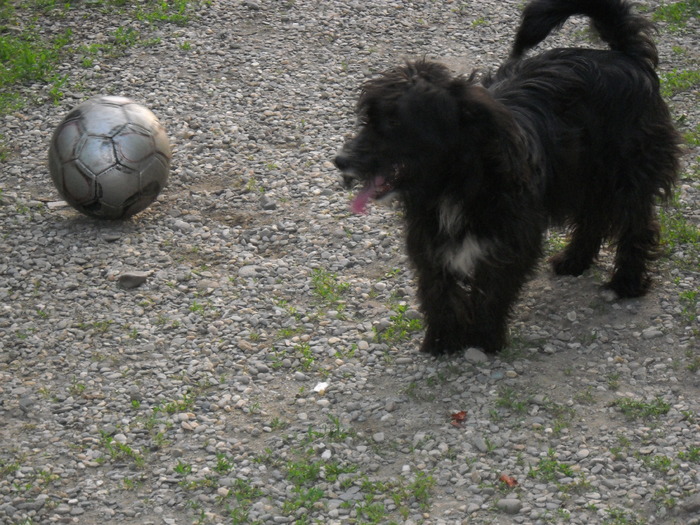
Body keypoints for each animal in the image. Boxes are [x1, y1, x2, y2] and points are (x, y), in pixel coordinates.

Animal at [336, 0, 680, 356]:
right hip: (581, 176)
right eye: (368, 120)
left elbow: (493, 289)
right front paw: (442, 341)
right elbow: (439, 291)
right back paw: (574, 261)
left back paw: (626, 282)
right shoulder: (430, 238)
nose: (340, 161)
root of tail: (626, 55)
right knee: (592, 218)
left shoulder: (510, 238)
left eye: (394, 122)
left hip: (627, 174)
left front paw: (485, 338)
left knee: (636, 226)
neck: (454, 183)